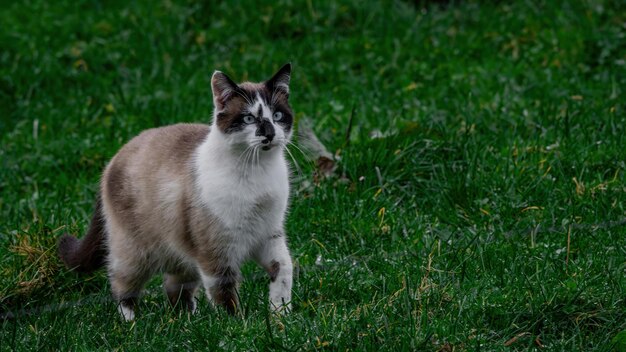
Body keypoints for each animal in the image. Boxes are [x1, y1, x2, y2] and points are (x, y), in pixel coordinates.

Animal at [58, 64, 292, 322]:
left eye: (277, 116)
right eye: (249, 118)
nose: (269, 134)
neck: (258, 169)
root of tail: (114, 159)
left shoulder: (268, 233)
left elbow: (284, 270)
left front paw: (281, 317)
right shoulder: (216, 252)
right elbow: (225, 294)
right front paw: (237, 325)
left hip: (182, 248)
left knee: (173, 286)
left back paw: (188, 321)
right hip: (136, 254)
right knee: (122, 286)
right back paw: (132, 324)